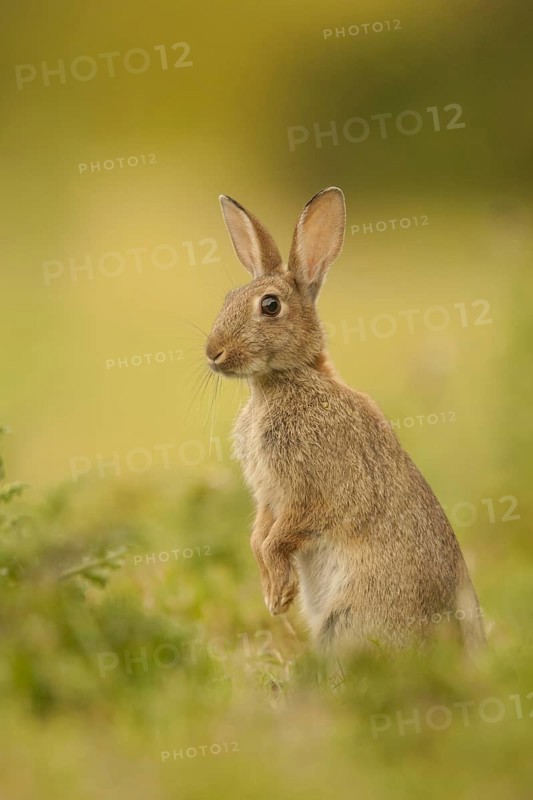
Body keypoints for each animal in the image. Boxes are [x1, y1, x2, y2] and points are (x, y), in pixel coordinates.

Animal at [205, 187, 484, 655]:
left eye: (269, 306)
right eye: (227, 298)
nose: (212, 352)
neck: (285, 380)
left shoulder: (314, 492)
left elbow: (281, 535)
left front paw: (280, 594)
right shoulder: (268, 495)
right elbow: (258, 535)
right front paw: (273, 593)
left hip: (351, 617)